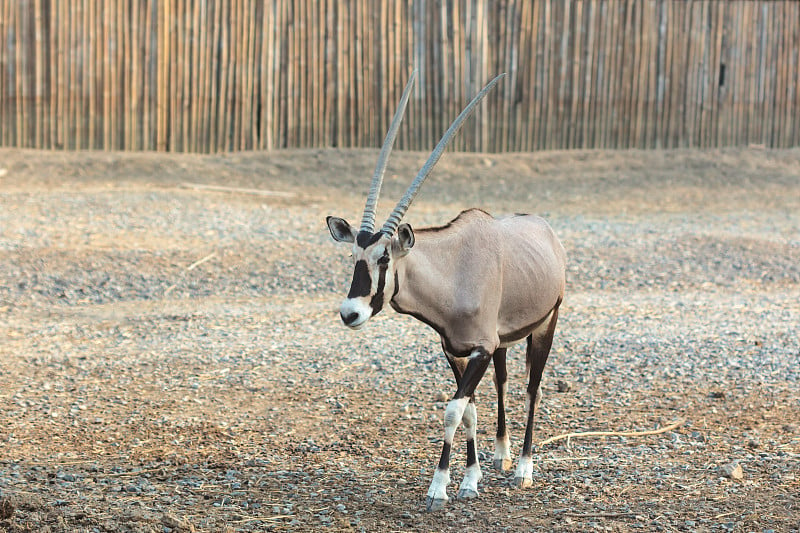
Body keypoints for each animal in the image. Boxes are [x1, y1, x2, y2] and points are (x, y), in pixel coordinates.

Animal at [326, 70, 568, 508]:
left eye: (384, 259)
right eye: (354, 255)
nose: (350, 312)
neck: (453, 272)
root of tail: (546, 230)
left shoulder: (480, 350)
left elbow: (454, 410)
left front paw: (439, 488)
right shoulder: (456, 351)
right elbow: (469, 409)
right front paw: (470, 480)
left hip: (545, 325)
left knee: (532, 389)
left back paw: (523, 469)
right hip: (503, 343)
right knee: (504, 383)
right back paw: (502, 454)